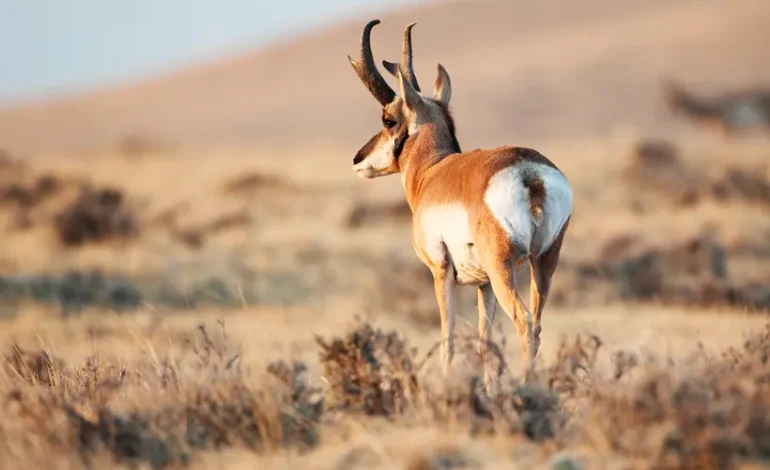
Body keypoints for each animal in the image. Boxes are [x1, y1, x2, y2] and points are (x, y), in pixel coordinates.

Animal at [347, 19, 573, 382]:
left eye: (388, 119)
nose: (358, 159)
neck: (433, 170)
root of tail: (530, 173)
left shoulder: (440, 272)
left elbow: (448, 339)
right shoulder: (483, 285)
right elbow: (485, 344)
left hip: (502, 269)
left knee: (524, 322)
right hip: (542, 264)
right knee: (537, 324)